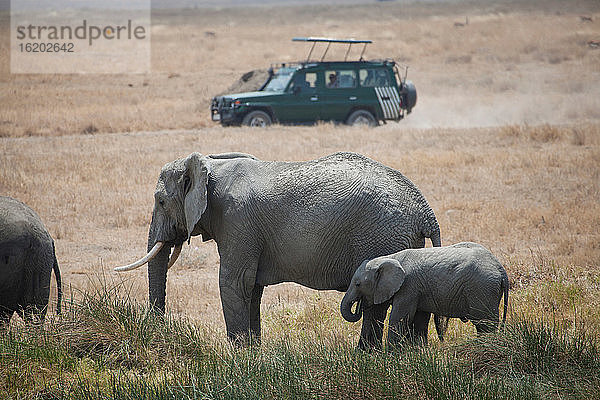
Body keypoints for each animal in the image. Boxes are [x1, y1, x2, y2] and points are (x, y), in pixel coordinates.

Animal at [116, 152, 440, 348]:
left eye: (160, 201)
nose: (159, 330)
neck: (210, 164)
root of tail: (424, 208)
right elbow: (252, 288)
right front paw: (254, 353)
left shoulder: (237, 221)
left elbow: (234, 282)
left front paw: (239, 358)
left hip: (382, 236)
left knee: (374, 303)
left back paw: (364, 356)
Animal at [342, 242, 506, 346]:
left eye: (358, 284)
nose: (359, 305)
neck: (388, 258)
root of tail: (501, 269)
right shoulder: (420, 290)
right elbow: (419, 319)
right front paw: (419, 352)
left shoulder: (408, 287)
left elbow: (399, 318)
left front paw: (390, 357)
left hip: (482, 290)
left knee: (485, 324)